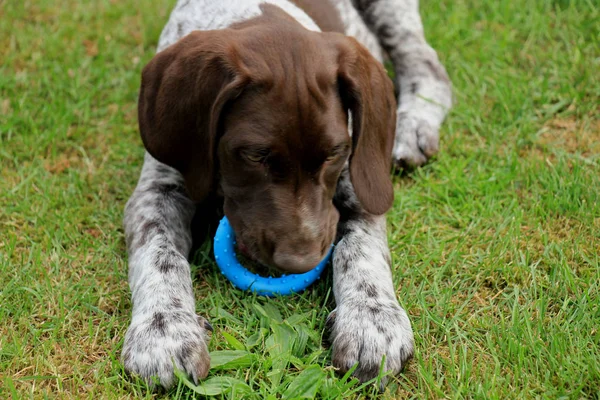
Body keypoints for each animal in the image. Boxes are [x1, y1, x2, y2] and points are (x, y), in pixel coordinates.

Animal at [122, 0, 450, 390]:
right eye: (254, 156)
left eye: (335, 153)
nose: (301, 262)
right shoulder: (158, 190)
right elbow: (159, 254)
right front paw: (163, 330)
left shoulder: (360, 179)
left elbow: (360, 247)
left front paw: (372, 320)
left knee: (426, 62)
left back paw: (414, 125)